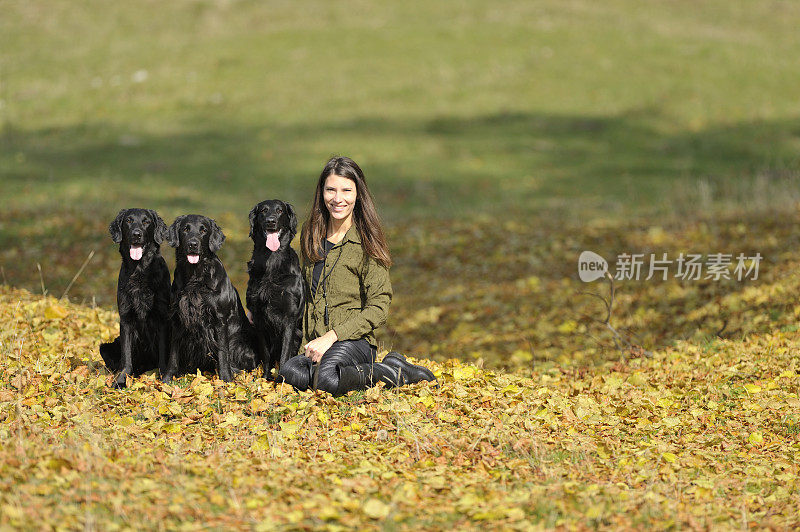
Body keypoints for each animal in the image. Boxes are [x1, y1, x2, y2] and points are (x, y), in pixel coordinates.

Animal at [99, 207, 171, 386]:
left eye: (146, 221)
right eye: (129, 221)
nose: (136, 234)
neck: (140, 272)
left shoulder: (162, 318)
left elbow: (163, 353)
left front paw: (163, 376)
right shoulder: (125, 318)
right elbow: (126, 357)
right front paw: (121, 380)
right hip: (105, 347)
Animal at [163, 214, 260, 380]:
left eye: (203, 230)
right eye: (185, 229)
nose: (193, 244)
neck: (195, 276)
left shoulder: (219, 319)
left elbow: (222, 352)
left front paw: (226, 379)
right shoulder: (177, 318)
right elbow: (173, 354)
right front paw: (167, 379)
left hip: (239, 342)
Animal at [245, 200, 304, 378]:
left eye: (280, 211)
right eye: (263, 211)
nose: (271, 221)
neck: (272, 261)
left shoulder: (289, 317)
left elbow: (285, 353)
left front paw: (281, 381)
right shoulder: (258, 318)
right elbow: (266, 354)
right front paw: (265, 378)